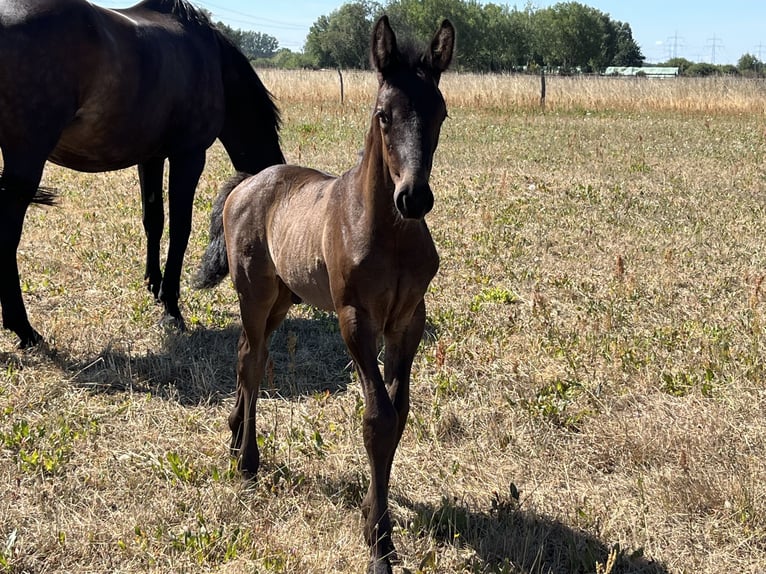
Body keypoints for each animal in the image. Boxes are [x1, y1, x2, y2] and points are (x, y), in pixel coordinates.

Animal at [0, 0, 284, 348]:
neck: (214, 62)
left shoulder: (151, 157)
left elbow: (154, 220)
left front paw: (154, 285)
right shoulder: (189, 156)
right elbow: (180, 229)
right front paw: (172, 308)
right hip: (26, 161)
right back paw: (23, 328)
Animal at [194, 15, 455, 574]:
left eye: (441, 114)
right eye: (383, 115)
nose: (414, 197)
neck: (389, 231)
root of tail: (247, 182)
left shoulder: (409, 321)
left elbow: (398, 414)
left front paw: (373, 520)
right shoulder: (355, 318)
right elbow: (377, 418)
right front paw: (380, 544)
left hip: (282, 299)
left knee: (247, 353)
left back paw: (234, 434)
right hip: (254, 293)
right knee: (252, 360)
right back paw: (248, 460)